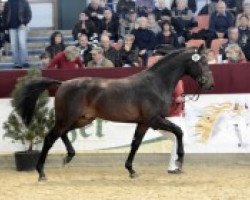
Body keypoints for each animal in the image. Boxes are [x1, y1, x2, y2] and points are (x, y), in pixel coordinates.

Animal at [17, 45, 213, 181]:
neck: (155, 83)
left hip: (82, 119)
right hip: (67, 118)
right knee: (50, 137)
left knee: (61, 134)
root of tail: (63, 83)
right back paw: (41, 173)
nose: (210, 84)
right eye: (202, 62)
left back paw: (68, 157)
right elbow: (173, 132)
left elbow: (138, 143)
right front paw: (178, 160)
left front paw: (131, 170)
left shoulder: (148, 122)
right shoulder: (151, 120)